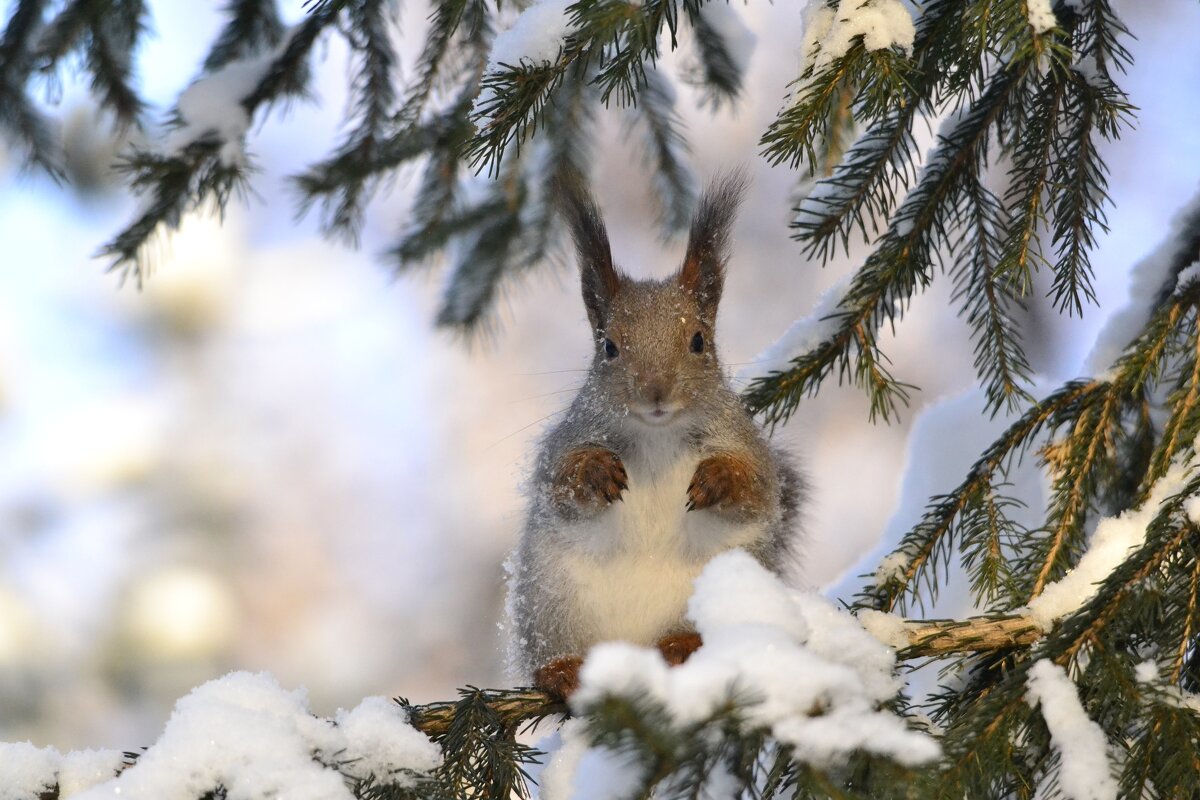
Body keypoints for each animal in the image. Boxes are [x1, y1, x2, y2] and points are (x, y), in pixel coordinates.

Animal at [508, 172, 806, 695]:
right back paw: (562, 669)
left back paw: (681, 644)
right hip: (549, 604)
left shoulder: (746, 445)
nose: (655, 392)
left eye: (698, 341)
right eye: (608, 346)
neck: (657, 435)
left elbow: (756, 488)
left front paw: (718, 479)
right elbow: (559, 483)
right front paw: (595, 472)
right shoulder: (565, 442)